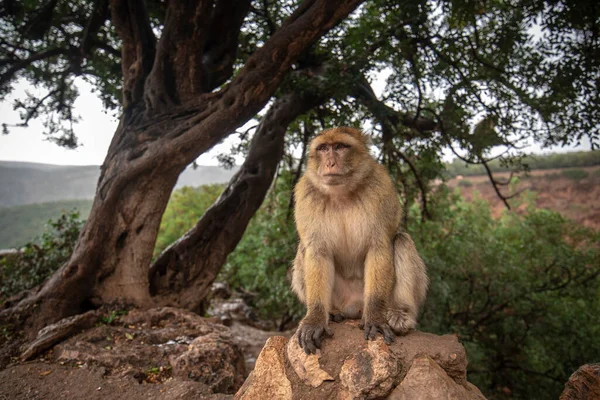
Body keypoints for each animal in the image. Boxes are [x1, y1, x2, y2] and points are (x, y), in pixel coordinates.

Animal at [290, 127, 426, 354]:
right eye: (323, 148)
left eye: (340, 147)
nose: (330, 163)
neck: (341, 193)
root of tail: (352, 307)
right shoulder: (306, 195)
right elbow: (317, 251)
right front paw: (315, 319)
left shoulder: (380, 188)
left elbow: (379, 246)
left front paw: (375, 317)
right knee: (303, 249)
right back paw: (332, 312)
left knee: (401, 240)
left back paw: (400, 314)